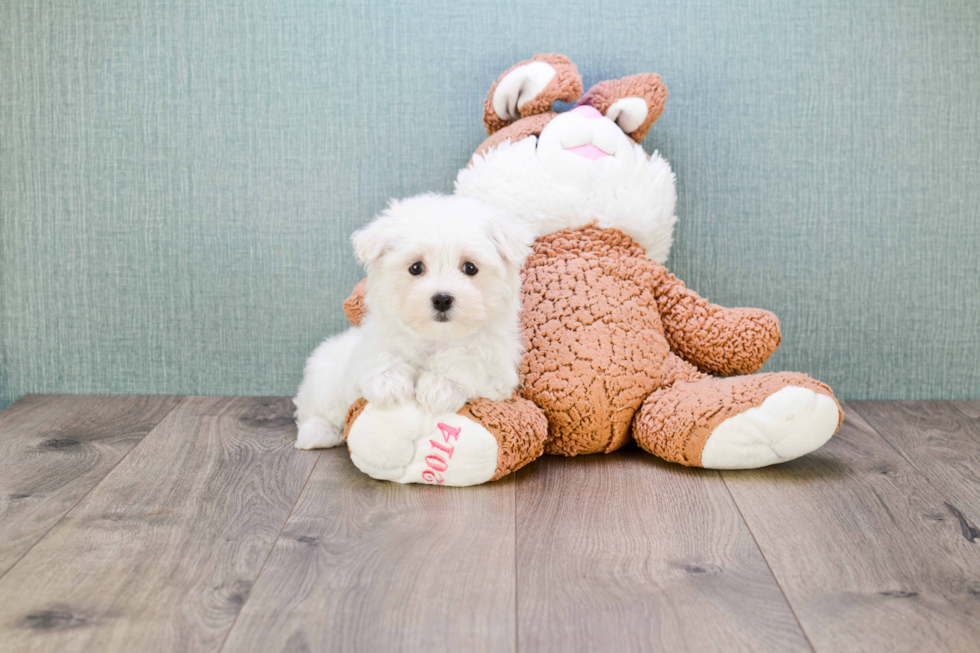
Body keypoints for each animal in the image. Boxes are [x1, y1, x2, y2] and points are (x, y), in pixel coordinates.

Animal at [292, 194, 532, 448]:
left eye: (470, 267)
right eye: (416, 267)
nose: (442, 299)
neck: (436, 337)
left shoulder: (497, 370)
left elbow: (466, 360)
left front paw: (439, 386)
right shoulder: (372, 345)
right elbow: (380, 355)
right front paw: (388, 382)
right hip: (323, 378)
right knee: (312, 409)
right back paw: (317, 433)